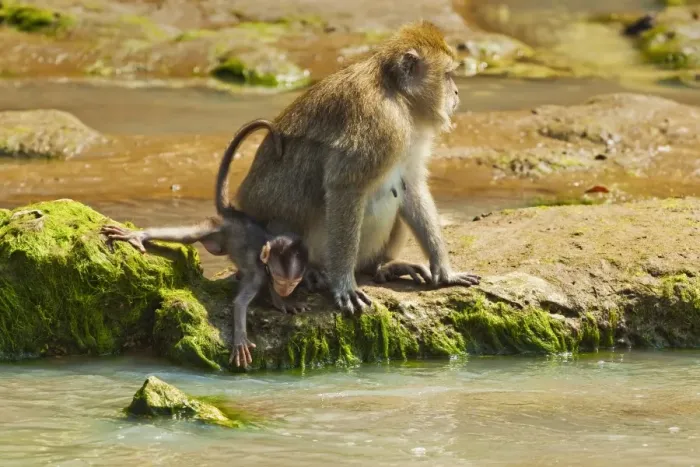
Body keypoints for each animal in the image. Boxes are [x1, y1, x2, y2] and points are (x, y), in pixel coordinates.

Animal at [101, 119, 308, 368]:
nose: (285, 289)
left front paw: (283, 301)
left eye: (293, 282)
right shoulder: (259, 274)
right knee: (189, 235)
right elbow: (239, 303)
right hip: (216, 228)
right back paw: (139, 235)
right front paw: (241, 338)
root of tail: (232, 213)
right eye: (281, 279)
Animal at [233, 21, 481, 314]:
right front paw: (344, 284)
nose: (456, 93)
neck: (398, 95)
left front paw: (445, 271)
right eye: (448, 75)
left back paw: (383, 266)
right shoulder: (380, 122)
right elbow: (345, 187)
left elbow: (412, 185)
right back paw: (312, 273)